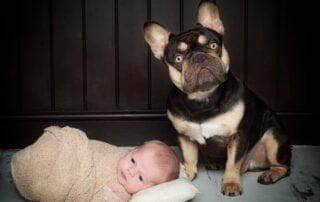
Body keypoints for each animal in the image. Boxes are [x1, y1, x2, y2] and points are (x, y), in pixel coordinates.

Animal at [144, 0, 292, 196]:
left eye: (213, 46)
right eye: (178, 58)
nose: (199, 57)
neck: (203, 98)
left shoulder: (237, 136)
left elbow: (233, 163)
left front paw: (231, 184)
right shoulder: (184, 136)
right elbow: (189, 157)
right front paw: (186, 174)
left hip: (274, 137)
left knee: (282, 166)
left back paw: (270, 174)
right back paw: (217, 162)